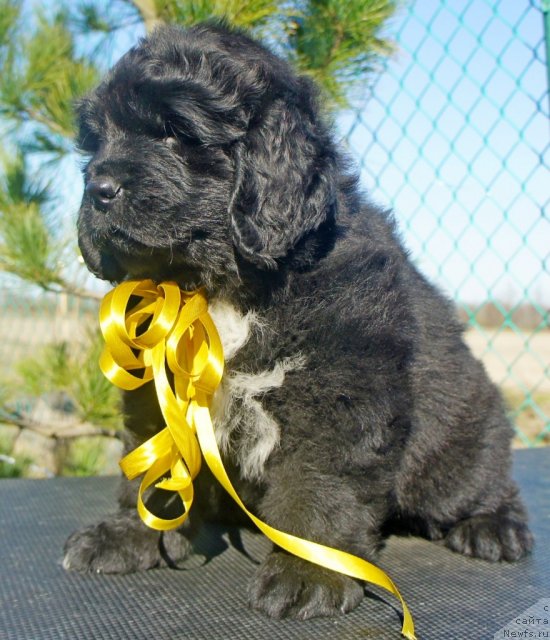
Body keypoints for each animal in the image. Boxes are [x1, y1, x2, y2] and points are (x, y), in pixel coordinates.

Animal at [66, 23, 536, 620]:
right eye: (96, 141)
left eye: (175, 134)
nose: (97, 189)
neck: (220, 288)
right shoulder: (160, 379)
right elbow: (154, 459)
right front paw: (132, 534)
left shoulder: (337, 390)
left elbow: (319, 483)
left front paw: (309, 571)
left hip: (458, 443)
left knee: (483, 480)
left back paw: (493, 527)